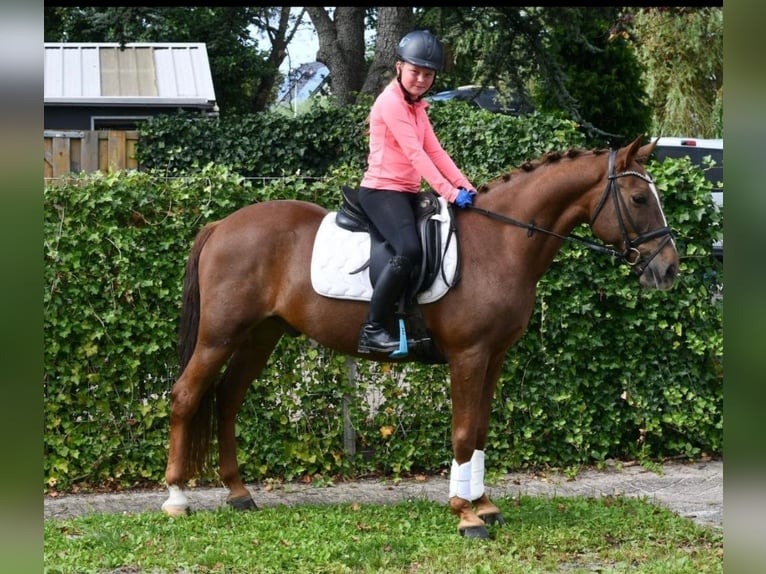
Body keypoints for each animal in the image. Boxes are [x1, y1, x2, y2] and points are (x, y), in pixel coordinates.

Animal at [160, 136, 680, 540]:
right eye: (639, 199)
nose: (669, 269)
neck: (501, 242)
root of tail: (222, 224)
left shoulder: (494, 357)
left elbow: (481, 430)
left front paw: (484, 503)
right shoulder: (469, 356)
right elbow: (463, 432)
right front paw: (466, 516)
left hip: (260, 336)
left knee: (227, 398)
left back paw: (238, 492)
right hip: (220, 335)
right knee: (186, 396)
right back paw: (176, 497)